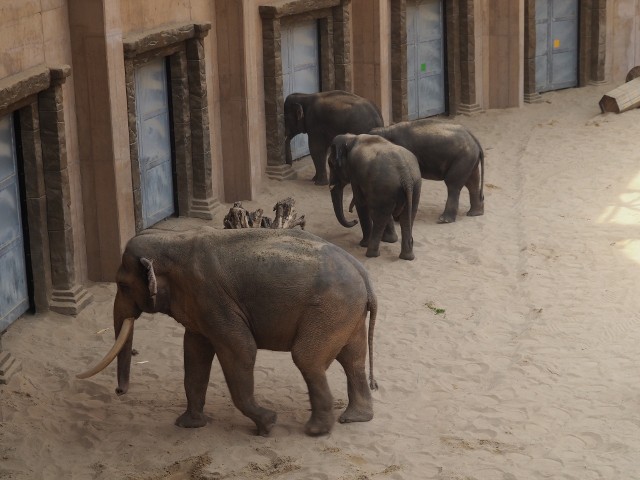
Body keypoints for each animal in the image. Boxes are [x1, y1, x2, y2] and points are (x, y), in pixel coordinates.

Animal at [75, 227, 378, 436]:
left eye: (123, 285)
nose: (119, 391)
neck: (174, 239)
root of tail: (362, 271)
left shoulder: (212, 298)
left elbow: (241, 349)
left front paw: (267, 425)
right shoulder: (199, 306)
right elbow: (194, 354)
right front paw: (188, 425)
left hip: (330, 309)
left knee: (308, 358)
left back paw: (316, 431)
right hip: (345, 312)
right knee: (353, 359)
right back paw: (355, 418)